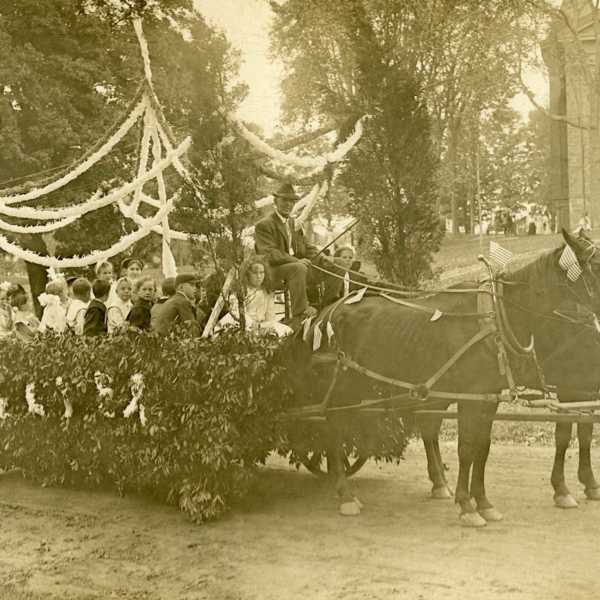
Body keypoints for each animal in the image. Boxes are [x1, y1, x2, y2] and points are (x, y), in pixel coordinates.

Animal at [284, 230, 600, 524]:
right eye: (596, 263)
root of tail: (323, 314)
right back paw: (345, 493)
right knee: (333, 430)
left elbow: (483, 448)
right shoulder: (477, 396)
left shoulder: (488, 398)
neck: (494, 318)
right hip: (340, 388)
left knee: (418, 426)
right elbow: (467, 448)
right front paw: (467, 505)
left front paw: (483, 502)